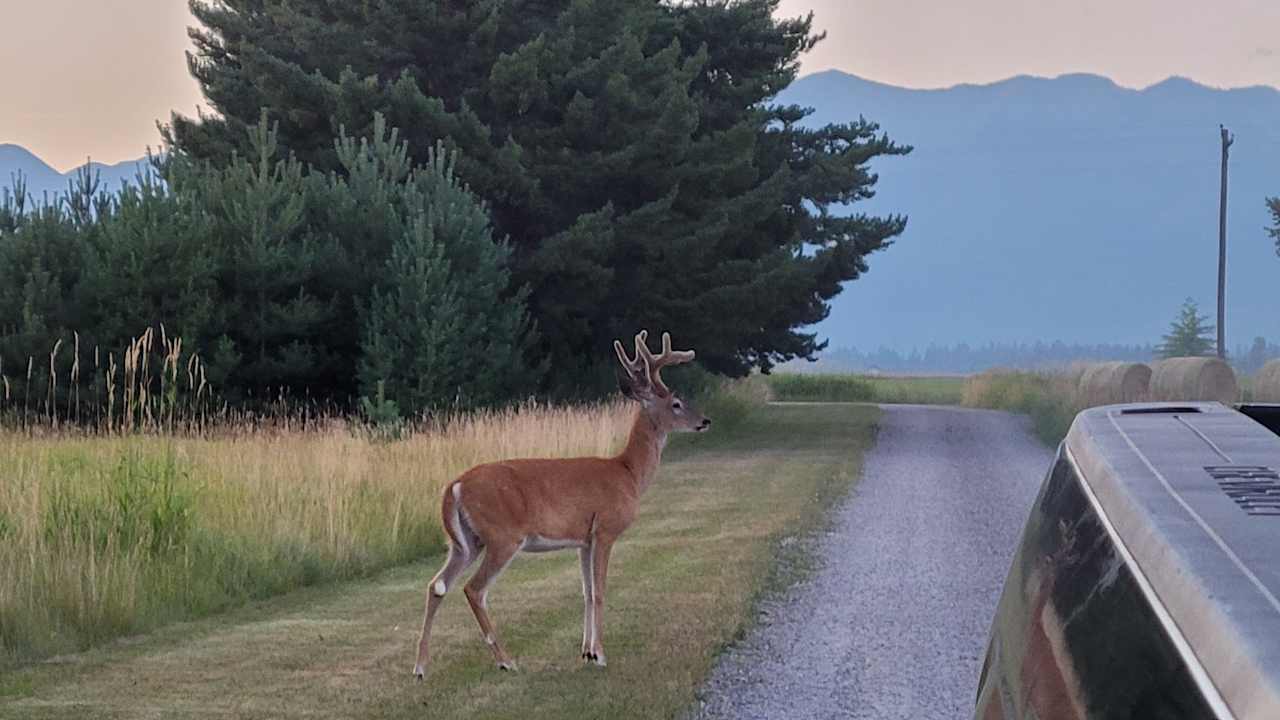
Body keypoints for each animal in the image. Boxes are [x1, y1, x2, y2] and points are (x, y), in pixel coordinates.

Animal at [412, 327, 706, 676]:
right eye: (676, 403)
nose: (705, 421)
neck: (628, 473)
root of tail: (454, 486)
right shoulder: (605, 529)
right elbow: (600, 591)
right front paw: (601, 654)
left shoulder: (584, 540)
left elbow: (586, 592)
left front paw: (586, 652)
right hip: (502, 536)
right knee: (474, 589)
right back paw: (505, 660)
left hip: (465, 542)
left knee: (436, 585)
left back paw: (420, 666)